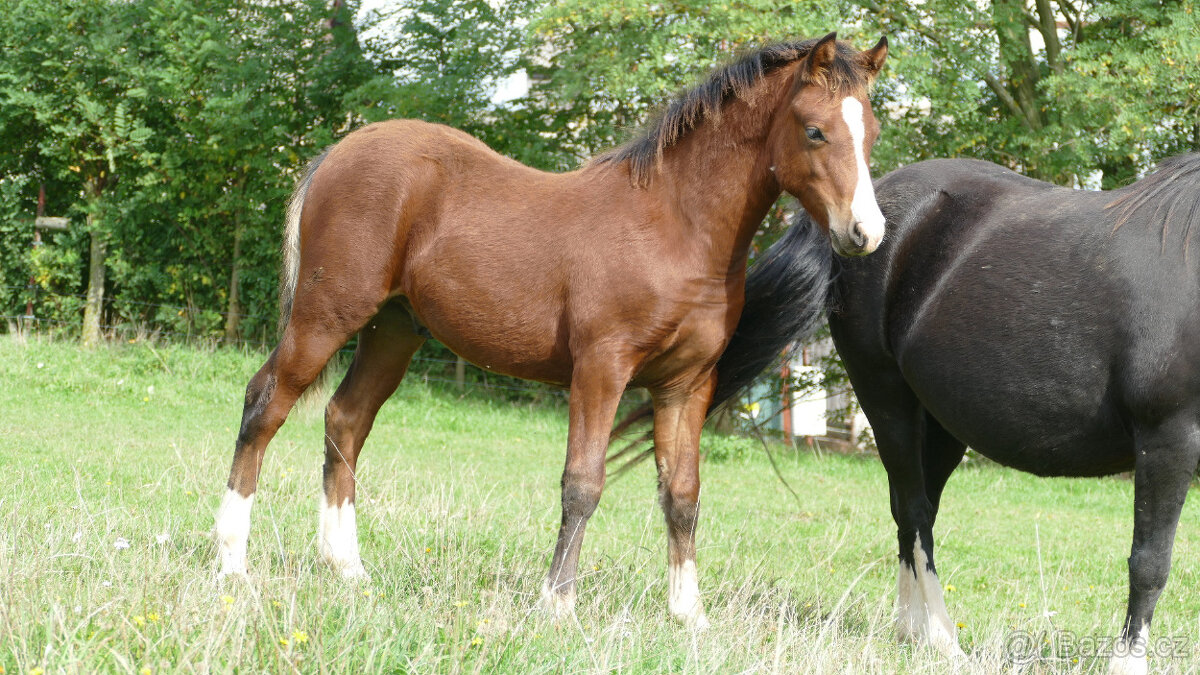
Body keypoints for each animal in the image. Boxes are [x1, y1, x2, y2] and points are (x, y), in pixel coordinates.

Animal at [213, 32, 890, 628]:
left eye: (873, 132)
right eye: (815, 130)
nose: (866, 233)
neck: (674, 224)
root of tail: (337, 152)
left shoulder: (686, 385)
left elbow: (682, 494)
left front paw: (688, 614)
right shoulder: (601, 369)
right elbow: (582, 484)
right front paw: (558, 604)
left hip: (393, 331)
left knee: (345, 420)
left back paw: (348, 568)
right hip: (325, 316)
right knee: (264, 405)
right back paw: (231, 564)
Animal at [702, 154, 1200, 671]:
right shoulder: (1168, 438)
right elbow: (1150, 562)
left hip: (939, 423)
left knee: (911, 510)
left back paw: (912, 632)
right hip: (884, 397)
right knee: (915, 512)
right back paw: (942, 638)